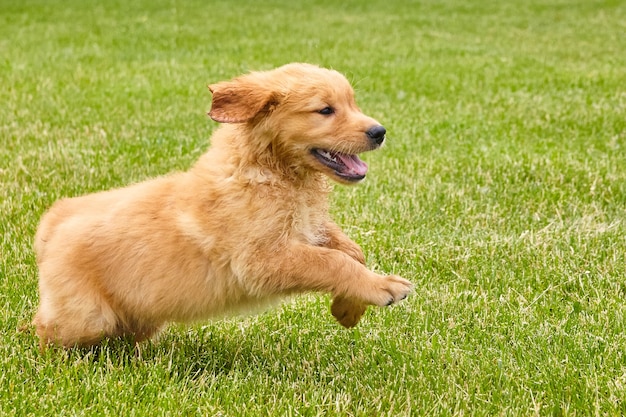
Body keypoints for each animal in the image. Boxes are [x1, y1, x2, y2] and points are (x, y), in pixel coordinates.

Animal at [35, 62, 414, 348]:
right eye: (325, 110)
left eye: (353, 104)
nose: (379, 132)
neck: (270, 170)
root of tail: (54, 219)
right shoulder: (260, 260)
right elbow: (333, 262)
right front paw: (382, 287)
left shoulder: (310, 228)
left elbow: (352, 252)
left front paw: (349, 308)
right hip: (86, 317)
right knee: (49, 330)